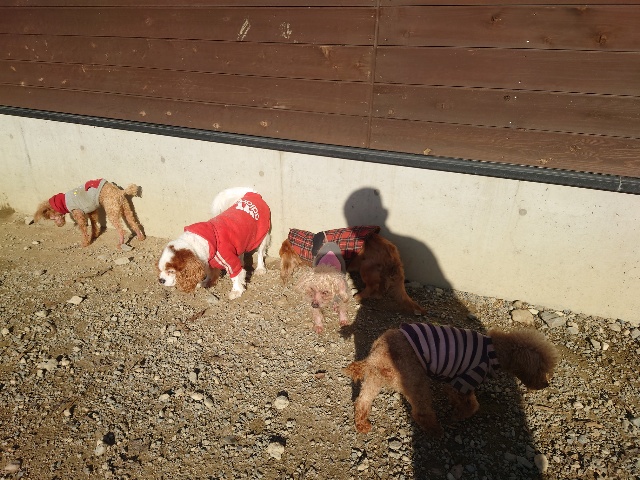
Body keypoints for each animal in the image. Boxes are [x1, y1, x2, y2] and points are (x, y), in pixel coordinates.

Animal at [280, 226, 426, 315]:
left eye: (281, 254)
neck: (310, 246)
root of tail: (392, 250)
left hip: (366, 267)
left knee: (373, 286)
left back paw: (359, 296)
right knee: (379, 290)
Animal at [344, 323, 559, 436]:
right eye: (542, 369)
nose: (546, 384)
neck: (495, 351)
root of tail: (376, 354)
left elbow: (469, 401)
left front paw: (458, 410)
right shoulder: (463, 380)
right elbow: (471, 404)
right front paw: (459, 415)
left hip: (375, 378)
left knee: (362, 401)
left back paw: (362, 424)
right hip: (415, 379)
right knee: (421, 412)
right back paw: (436, 431)